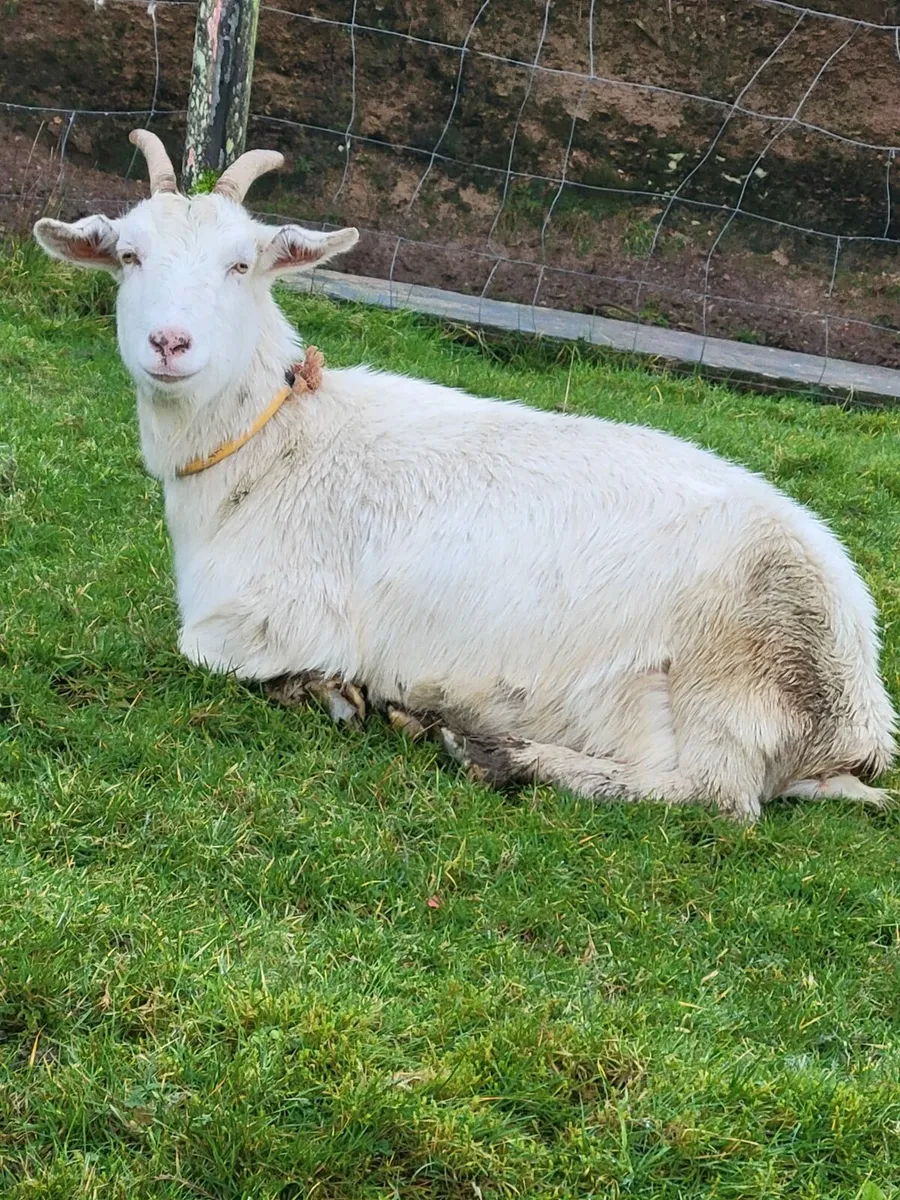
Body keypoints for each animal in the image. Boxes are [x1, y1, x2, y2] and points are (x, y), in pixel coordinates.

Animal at [34, 131, 897, 822]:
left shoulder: (276, 617)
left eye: (241, 263)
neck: (277, 449)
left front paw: (331, 692)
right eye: (129, 255)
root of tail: (857, 718)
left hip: (734, 677)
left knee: (719, 798)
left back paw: (496, 753)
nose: (169, 343)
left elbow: (203, 651)